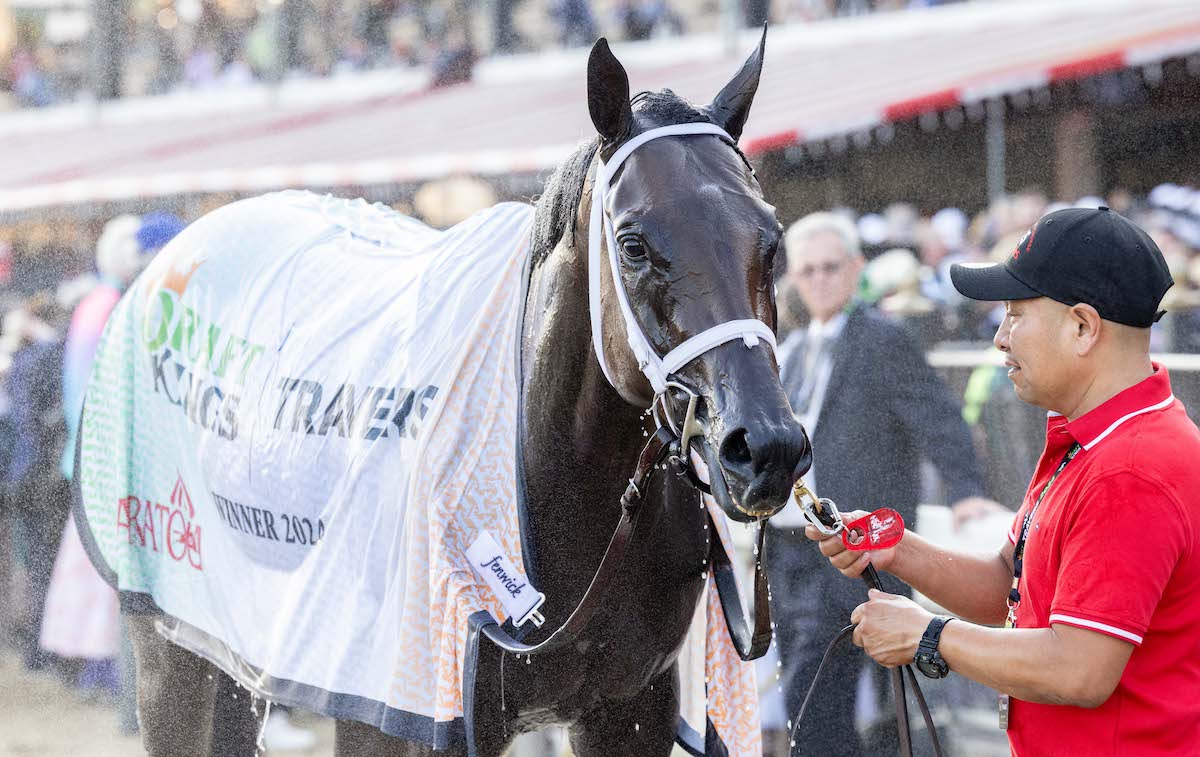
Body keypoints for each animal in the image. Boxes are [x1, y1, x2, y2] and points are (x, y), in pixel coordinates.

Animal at [126, 32, 811, 753]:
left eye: (771, 237)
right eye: (632, 244)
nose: (764, 446)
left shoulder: (629, 709)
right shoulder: (410, 716)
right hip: (174, 655)